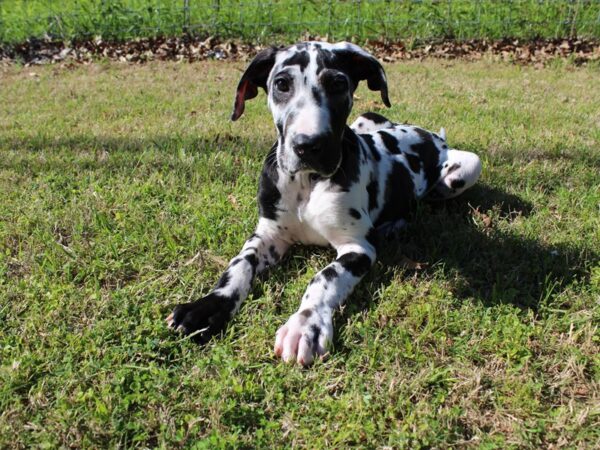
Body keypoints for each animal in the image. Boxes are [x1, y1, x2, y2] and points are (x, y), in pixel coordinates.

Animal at [165, 41, 482, 366]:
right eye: (282, 84)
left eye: (338, 84)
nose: (307, 146)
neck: (307, 183)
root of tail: (430, 134)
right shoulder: (267, 235)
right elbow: (239, 264)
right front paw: (206, 307)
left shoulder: (357, 247)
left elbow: (325, 277)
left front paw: (305, 324)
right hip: (367, 117)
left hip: (467, 167)